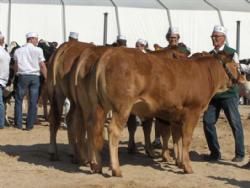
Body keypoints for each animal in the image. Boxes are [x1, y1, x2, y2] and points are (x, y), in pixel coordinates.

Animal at [94, 47, 246, 176]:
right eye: (236, 65)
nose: (243, 77)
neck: (206, 73)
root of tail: (111, 53)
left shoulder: (176, 115)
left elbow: (176, 138)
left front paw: (179, 162)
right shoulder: (193, 111)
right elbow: (186, 139)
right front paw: (187, 166)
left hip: (100, 106)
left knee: (95, 129)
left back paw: (96, 165)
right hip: (122, 107)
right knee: (113, 131)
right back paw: (116, 169)